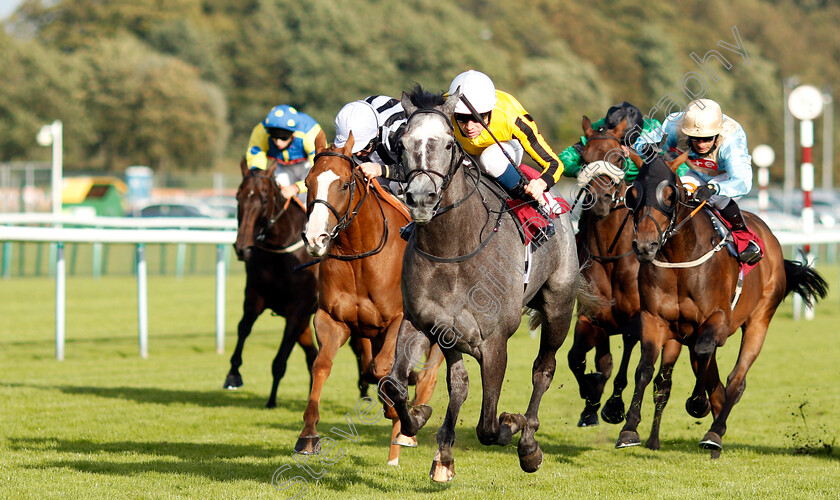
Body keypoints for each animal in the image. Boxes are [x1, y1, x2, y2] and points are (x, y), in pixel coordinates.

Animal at [228, 158, 320, 408]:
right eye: (237, 197)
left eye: (263, 199)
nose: (242, 248)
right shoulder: (255, 296)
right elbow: (243, 328)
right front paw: (233, 375)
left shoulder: (298, 309)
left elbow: (280, 359)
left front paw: (271, 401)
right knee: (313, 356)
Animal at [302, 131, 446, 466]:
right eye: (307, 181)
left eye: (344, 184)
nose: (315, 238)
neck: (360, 255)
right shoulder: (331, 319)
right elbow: (322, 365)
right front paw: (308, 434)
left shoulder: (399, 320)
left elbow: (384, 372)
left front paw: (397, 411)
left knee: (428, 376)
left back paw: (405, 433)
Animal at [384, 87, 580, 484]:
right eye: (402, 143)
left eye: (447, 144)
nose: (421, 198)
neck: (452, 249)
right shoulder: (423, 323)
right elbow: (395, 385)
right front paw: (422, 420)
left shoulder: (494, 341)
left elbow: (489, 427)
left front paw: (512, 424)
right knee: (458, 383)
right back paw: (444, 452)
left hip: (559, 308)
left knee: (543, 370)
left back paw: (528, 443)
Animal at [616, 152, 828, 458]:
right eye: (633, 195)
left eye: (670, 195)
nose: (645, 246)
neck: (679, 258)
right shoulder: (654, 319)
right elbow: (644, 368)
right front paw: (629, 428)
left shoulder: (717, 320)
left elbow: (705, 354)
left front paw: (697, 403)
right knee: (714, 383)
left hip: (760, 318)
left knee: (736, 380)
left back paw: (714, 433)